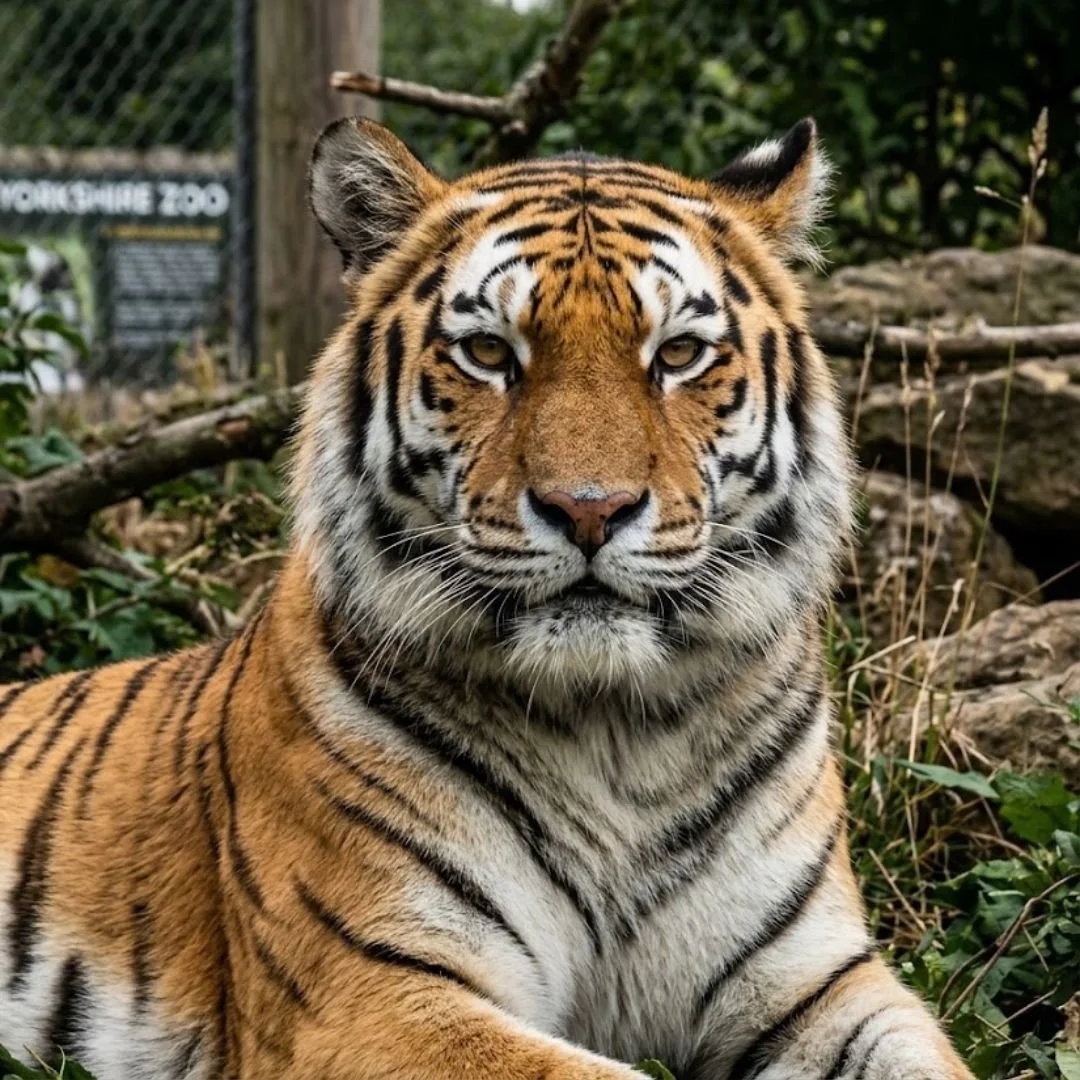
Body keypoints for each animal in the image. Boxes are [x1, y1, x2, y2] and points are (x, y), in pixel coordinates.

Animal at [0, 116, 972, 1080]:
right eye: (490, 353)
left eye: (679, 354)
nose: (590, 509)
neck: (616, 738)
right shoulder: (370, 992)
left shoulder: (818, 978)